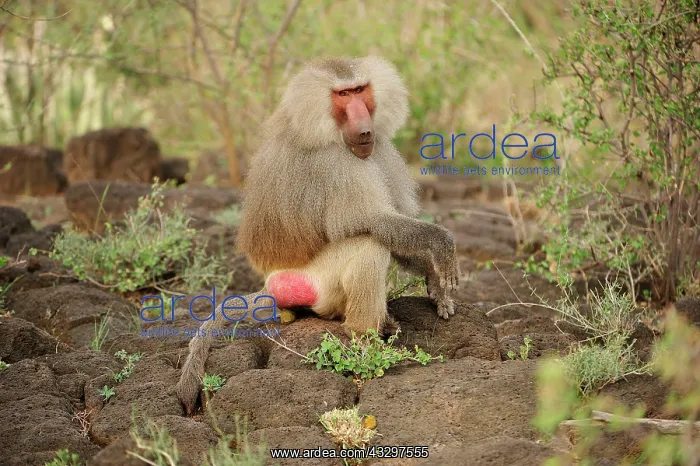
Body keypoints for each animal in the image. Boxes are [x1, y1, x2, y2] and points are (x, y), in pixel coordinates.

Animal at [176, 56, 460, 414]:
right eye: (343, 95)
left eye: (360, 90)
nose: (365, 128)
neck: (328, 131)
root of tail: (271, 283)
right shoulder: (333, 164)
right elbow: (373, 222)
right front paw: (442, 245)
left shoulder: (378, 148)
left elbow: (394, 229)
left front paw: (435, 283)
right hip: (317, 281)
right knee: (368, 245)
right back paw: (366, 342)